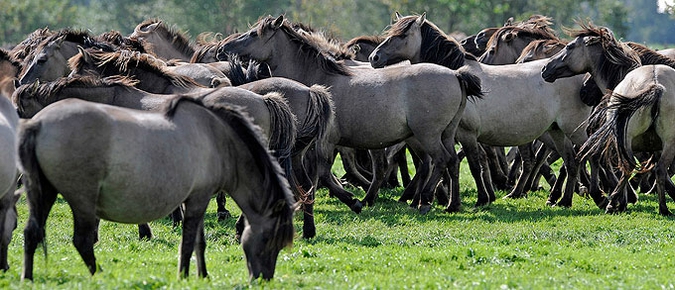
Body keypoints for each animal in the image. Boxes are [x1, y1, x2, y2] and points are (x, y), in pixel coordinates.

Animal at [15, 96, 294, 280]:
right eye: (269, 239)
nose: (263, 279)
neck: (216, 138)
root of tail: (38, 124)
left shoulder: (196, 199)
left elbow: (199, 242)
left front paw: (203, 275)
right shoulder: (198, 199)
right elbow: (188, 242)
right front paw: (184, 276)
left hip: (45, 193)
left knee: (32, 233)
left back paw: (28, 278)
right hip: (82, 200)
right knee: (82, 241)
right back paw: (102, 276)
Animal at [219, 14, 484, 214]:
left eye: (254, 34)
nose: (224, 47)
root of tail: (456, 74)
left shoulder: (326, 141)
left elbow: (323, 174)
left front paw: (352, 201)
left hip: (427, 135)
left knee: (440, 160)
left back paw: (425, 201)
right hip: (446, 134)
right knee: (451, 161)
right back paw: (452, 204)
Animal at [370, 13, 592, 210]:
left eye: (402, 35)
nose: (374, 57)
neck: (458, 76)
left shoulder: (467, 134)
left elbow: (474, 166)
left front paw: (480, 199)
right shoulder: (451, 135)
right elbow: (454, 165)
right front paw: (454, 201)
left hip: (574, 131)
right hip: (556, 132)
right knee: (570, 161)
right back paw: (563, 200)